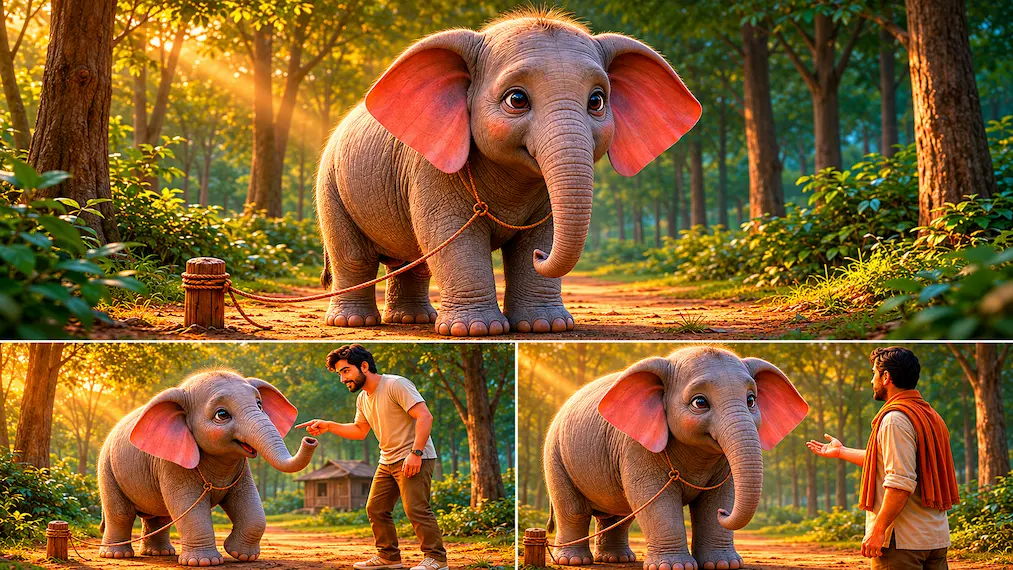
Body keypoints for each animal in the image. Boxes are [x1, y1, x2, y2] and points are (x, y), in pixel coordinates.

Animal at [96, 369, 318, 566]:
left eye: (259, 405)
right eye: (222, 414)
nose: (310, 438)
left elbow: (250, 504)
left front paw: (242, 556)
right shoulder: (172, 462)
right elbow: (189, 506)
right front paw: (204, 562)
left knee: (160, 516)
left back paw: (160, 553)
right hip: (106, 467)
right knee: (120, 513)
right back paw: (116, 555)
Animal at [315, 8, 701, 336]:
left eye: (597, 102)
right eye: (517, 100)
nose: (542, 258)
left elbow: (541, 233)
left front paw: (546, 326)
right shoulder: (430, 167)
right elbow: (449, 234)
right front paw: (475, 331)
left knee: (412, 261)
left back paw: (413, 320)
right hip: (329, 187)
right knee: (353, 255)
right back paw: (353, 322)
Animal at [543, 346, 809, 570]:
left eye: (751, 401)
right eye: (700, 402)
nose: (724, 513)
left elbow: (722, 493)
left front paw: (724, 565)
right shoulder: (636, 445)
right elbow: (654, 496)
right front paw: (674, 567)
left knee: (619, 514)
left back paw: (617, 559)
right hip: (555, 455)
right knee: (573, 510)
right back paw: (573, 561)